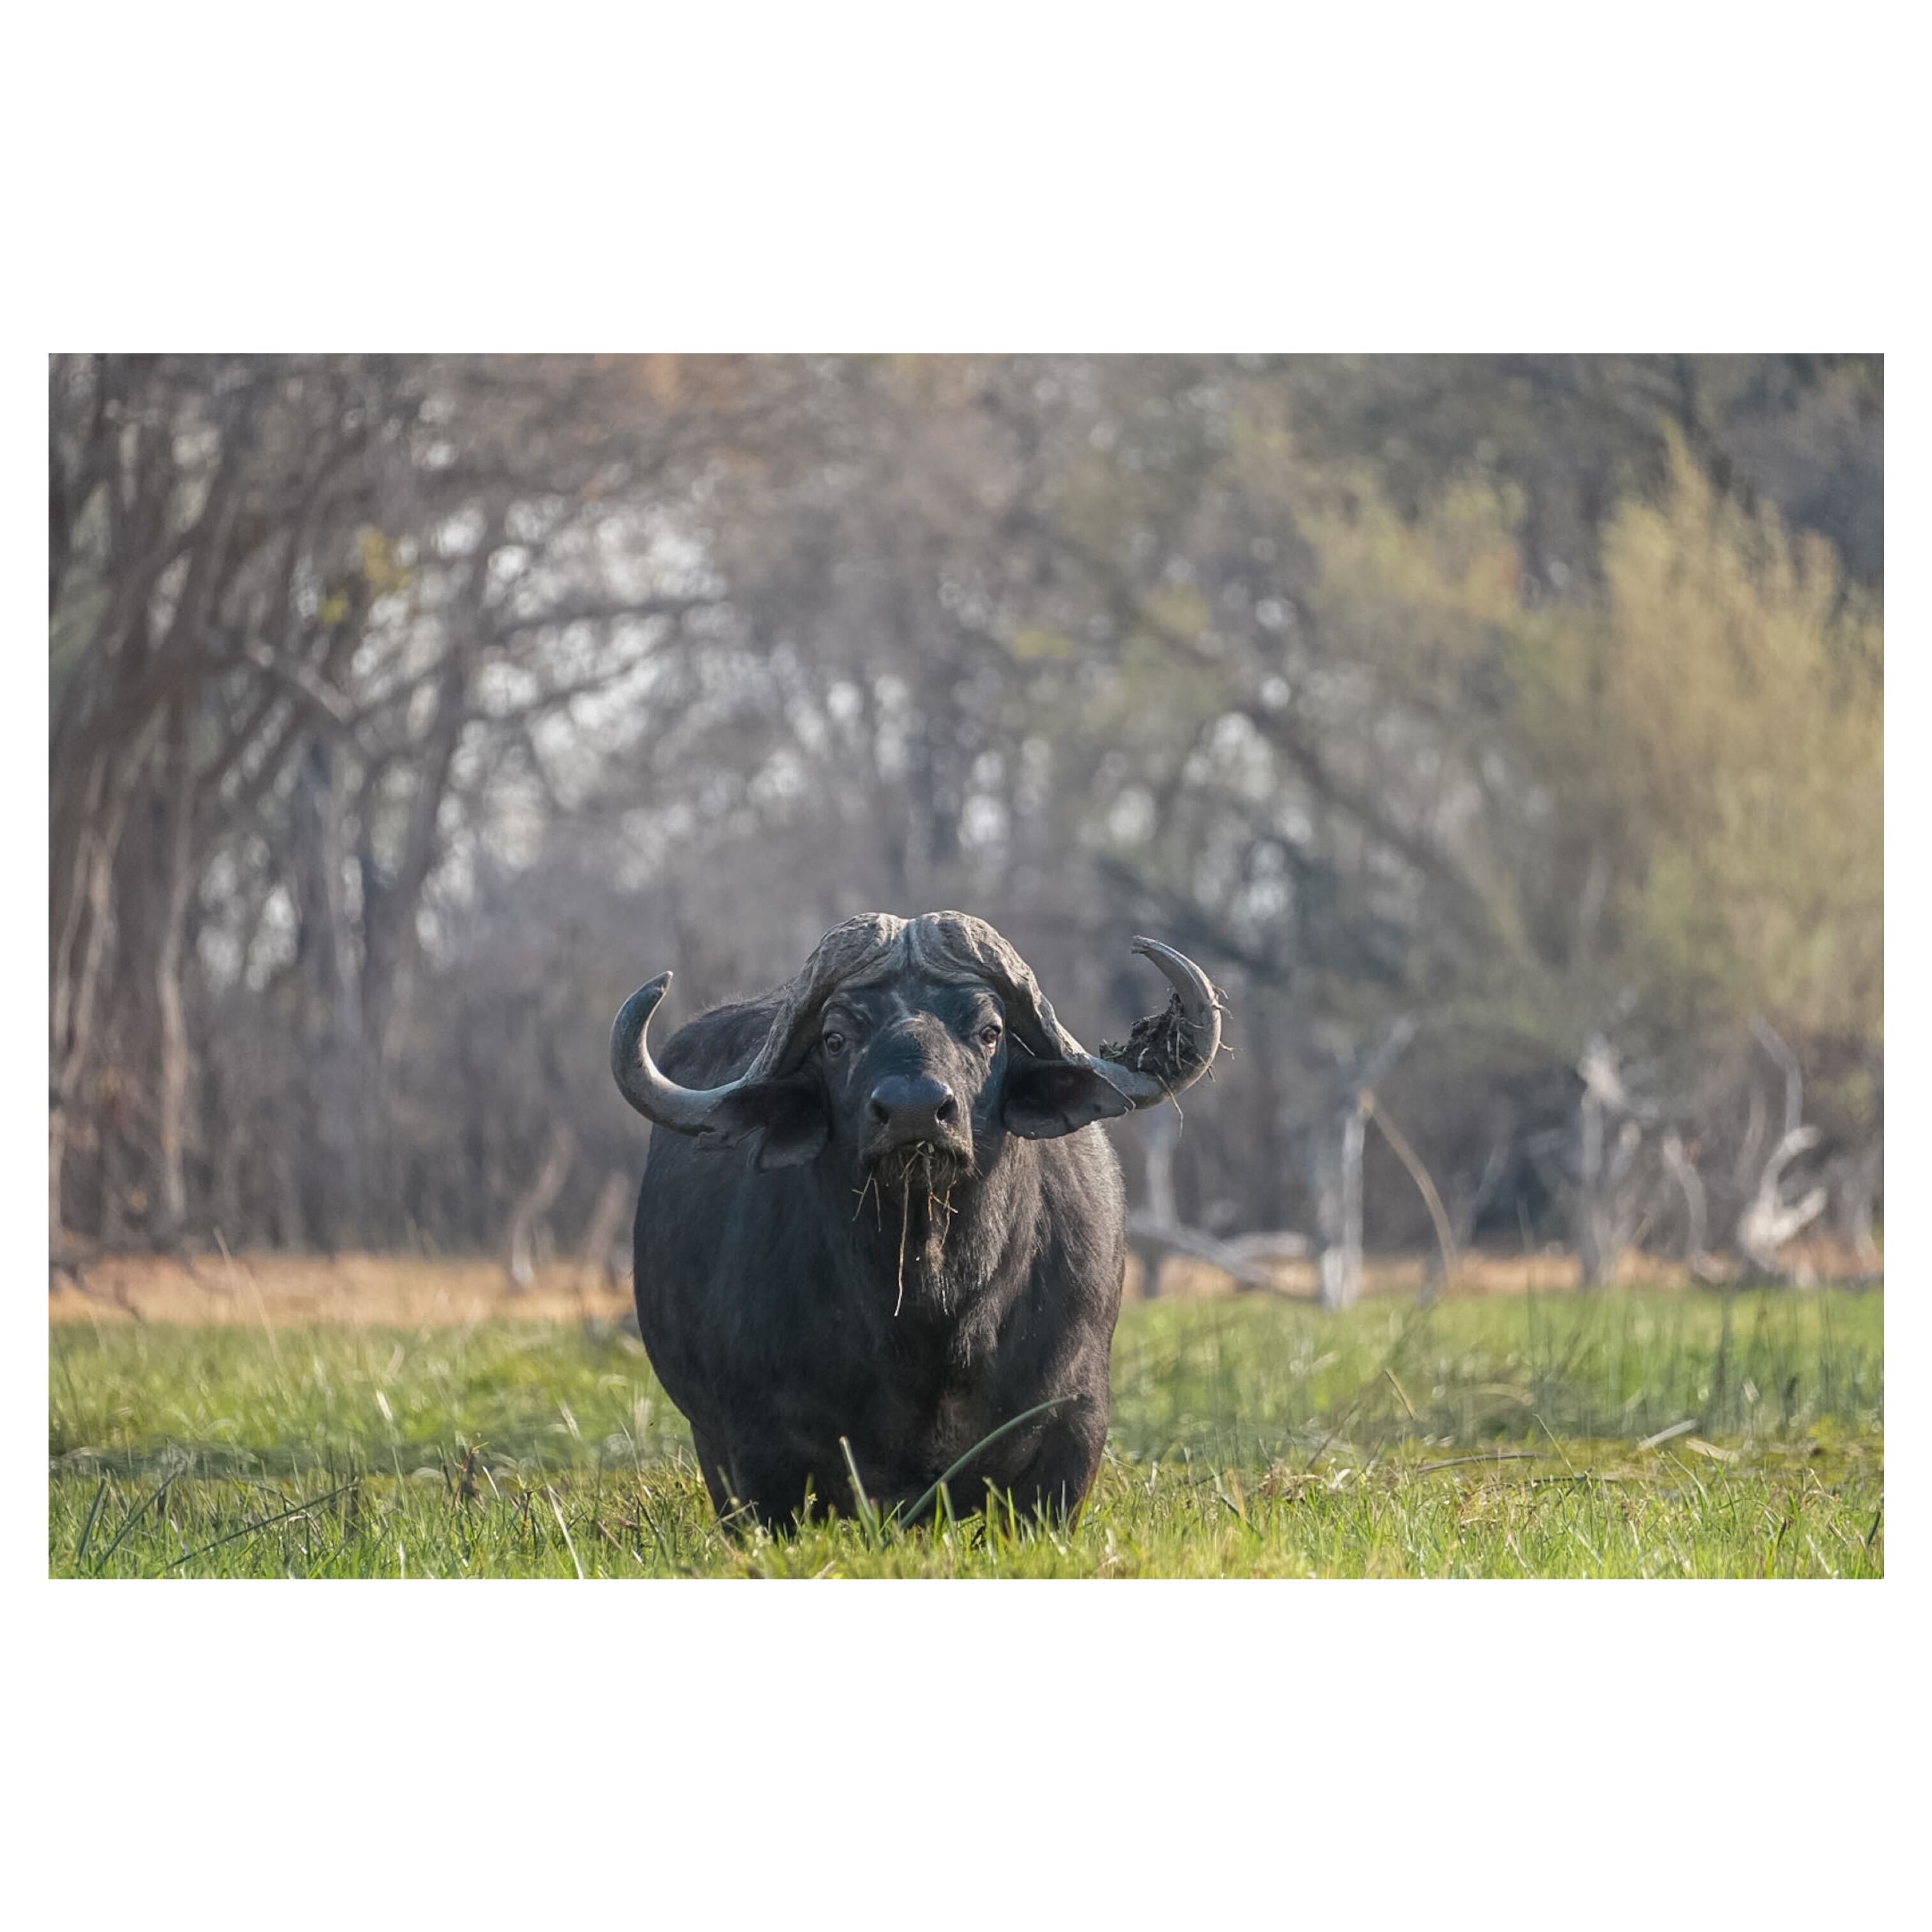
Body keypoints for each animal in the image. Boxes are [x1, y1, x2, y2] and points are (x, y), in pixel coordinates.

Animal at [610, 911, 1222, 1529]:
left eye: (990, 1031)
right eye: (836, 1038)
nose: (914, 1111)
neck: (933, 1306)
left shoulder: (1072, 1432)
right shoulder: (756, 1453)